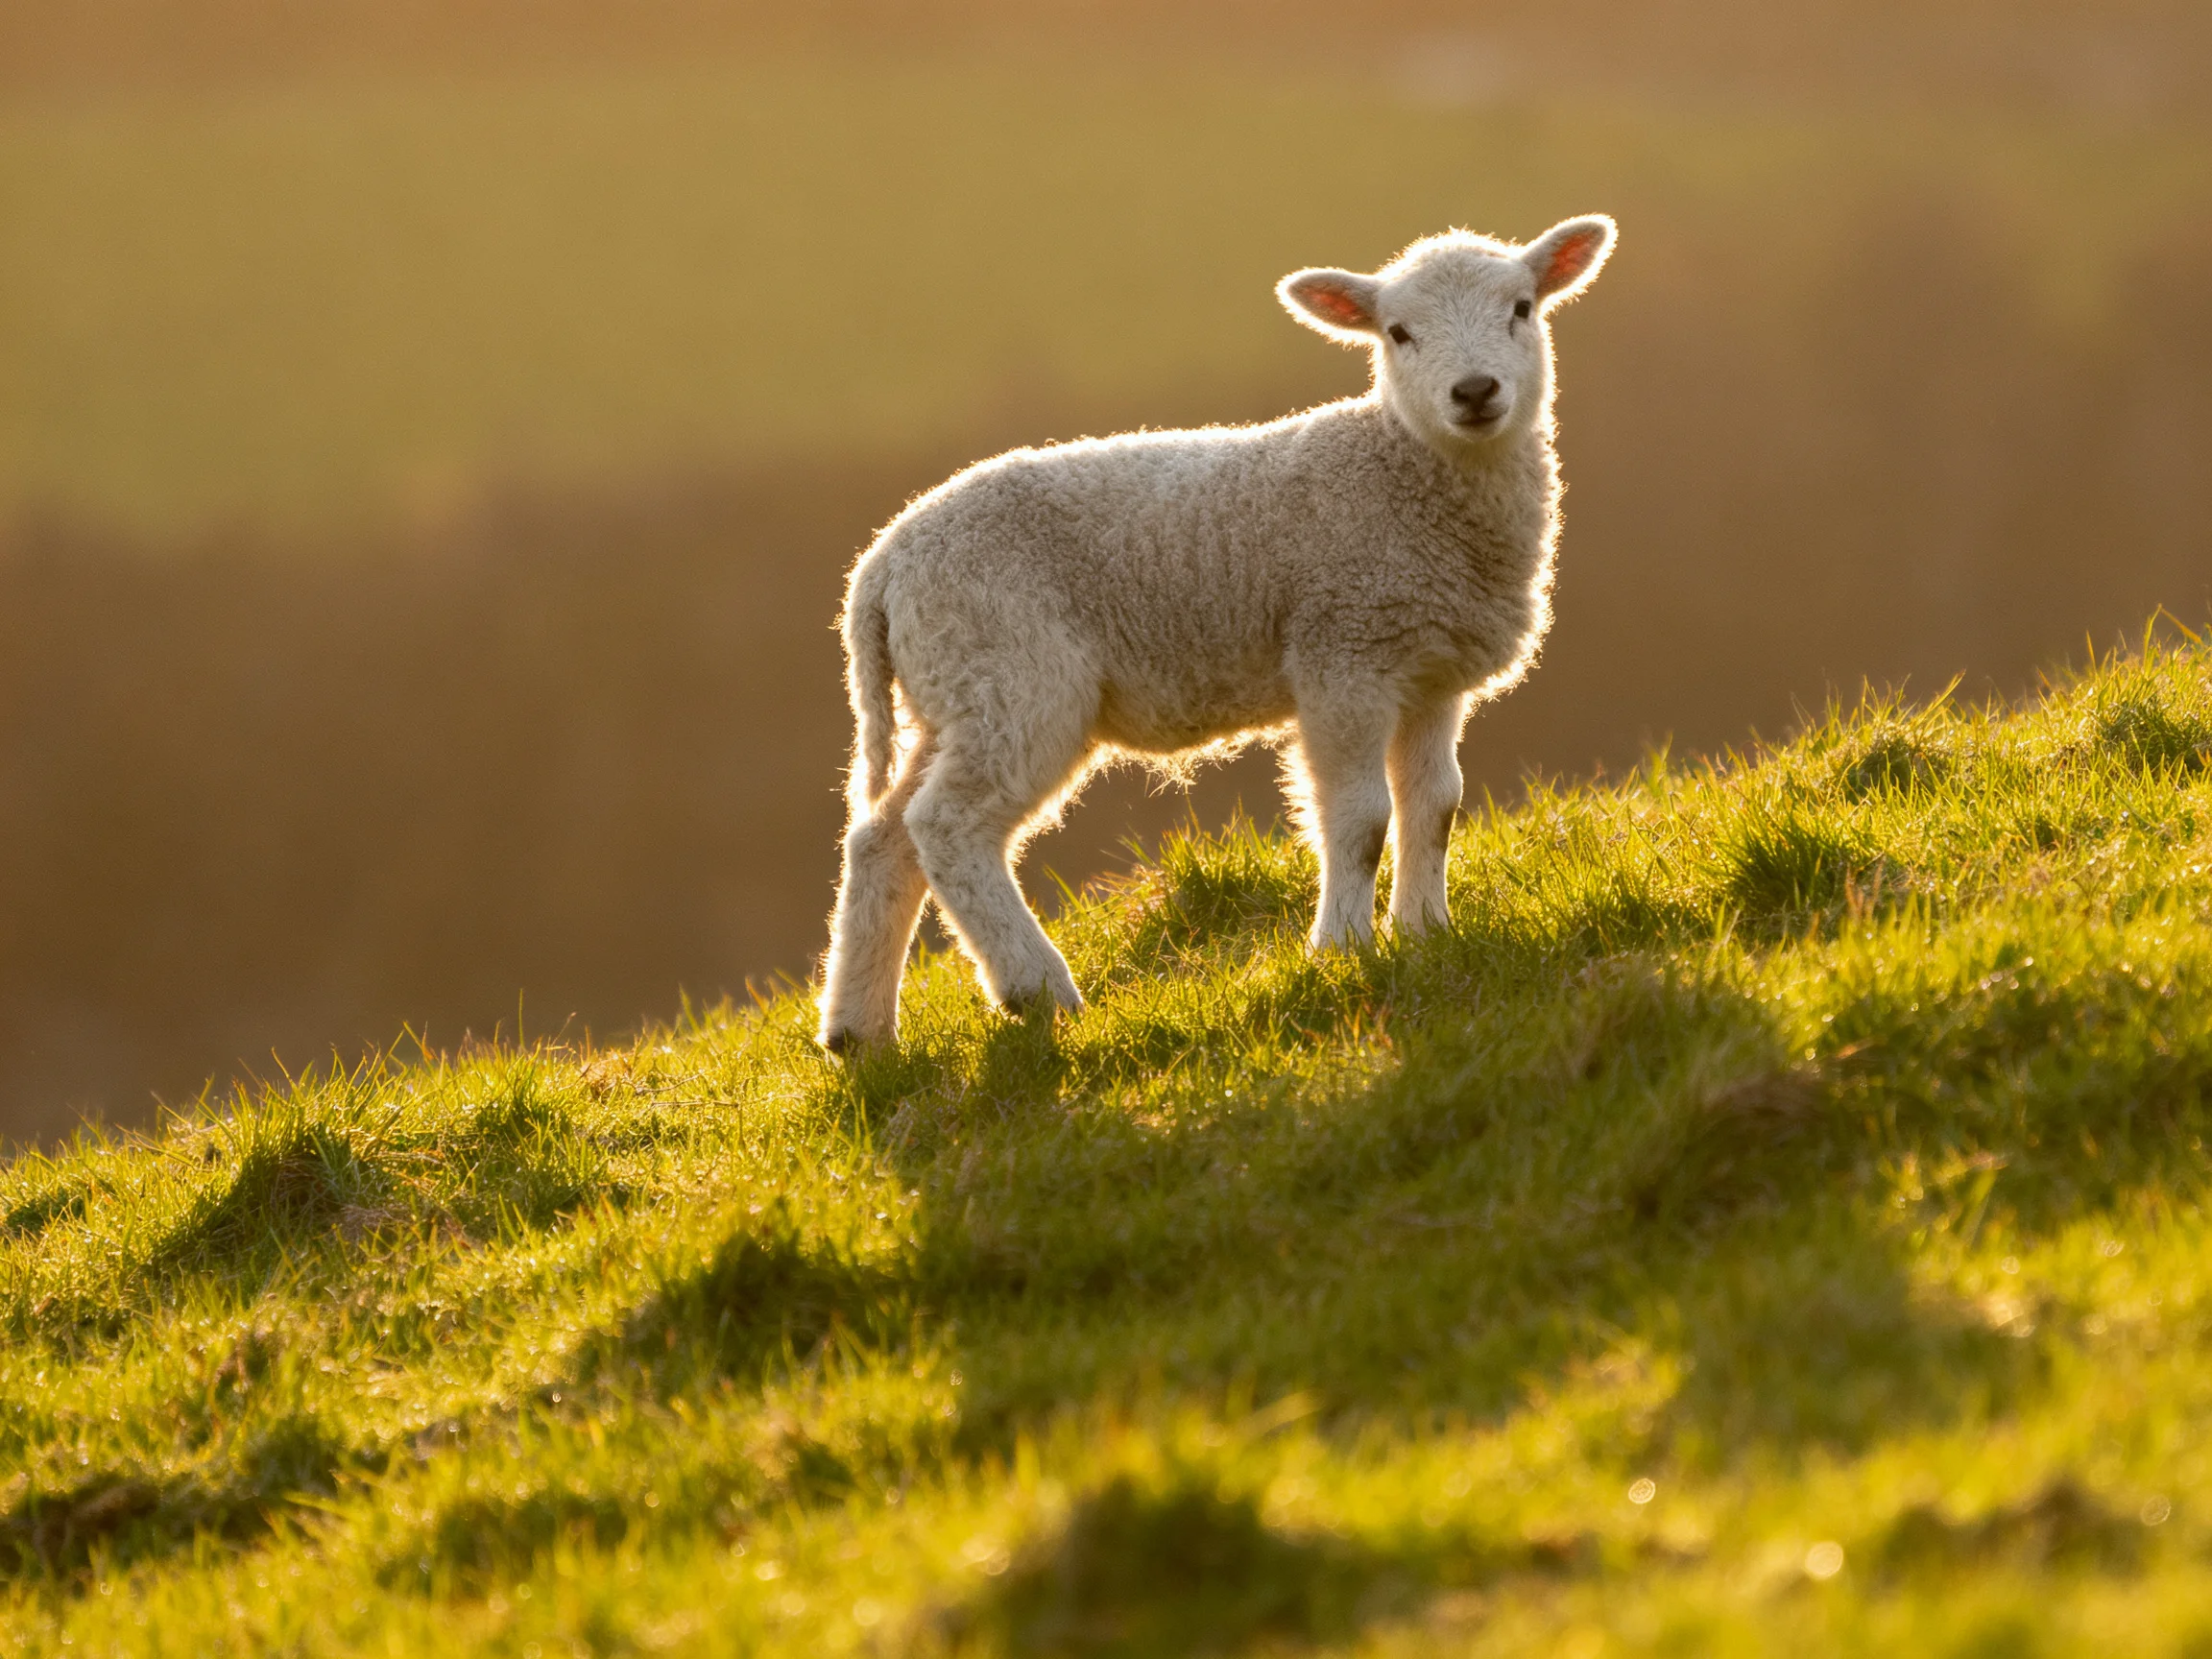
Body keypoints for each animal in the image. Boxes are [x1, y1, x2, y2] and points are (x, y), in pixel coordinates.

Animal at [817, 214, 1617, 1051]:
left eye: (1522, 308)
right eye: (1398, 333)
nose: (1474, 392)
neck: (1405, 474)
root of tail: (882, 567)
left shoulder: (1428, 671)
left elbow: (1434, 805)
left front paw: (1427, 934)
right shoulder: (1343, 653)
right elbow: (1361, 817)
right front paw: (1343, 948)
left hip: (952, 693)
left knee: (882, 837)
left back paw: (859, 1034)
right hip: (1012, 674)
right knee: (947, 826)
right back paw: (1036, 989)